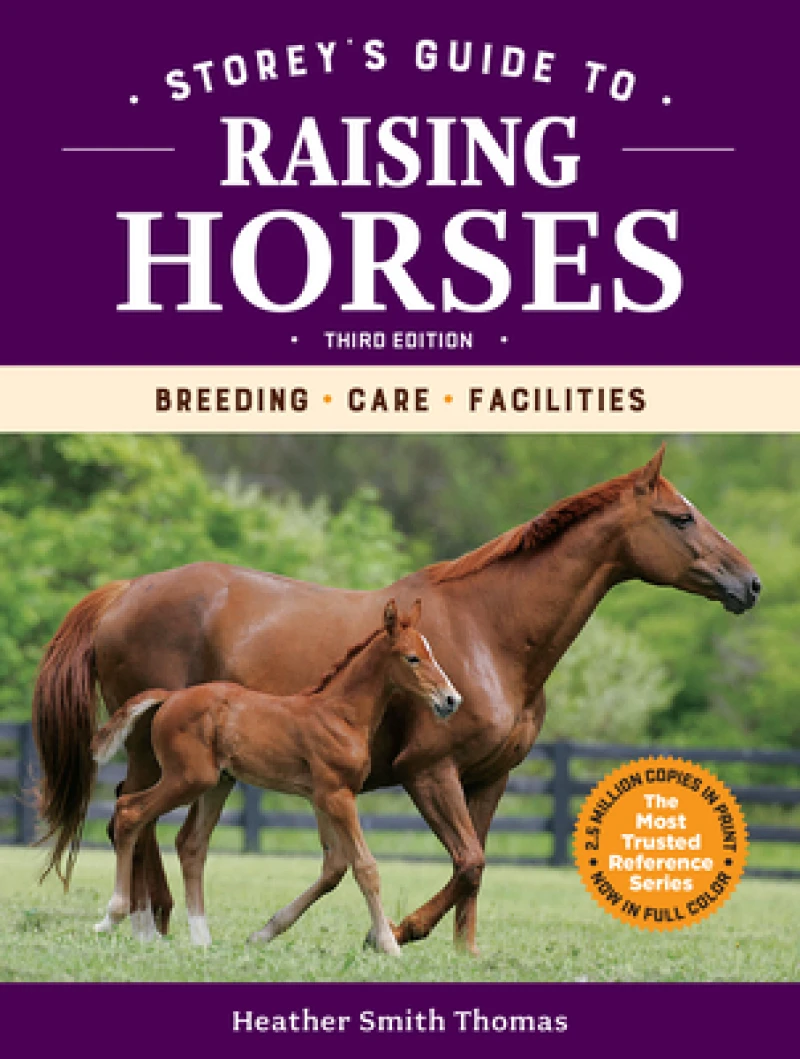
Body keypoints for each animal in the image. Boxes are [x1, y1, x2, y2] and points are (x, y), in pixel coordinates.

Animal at [90, 599, 459, 953]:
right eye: (413, 658)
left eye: (432, 653)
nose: (451, 699)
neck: (340, 715)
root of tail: (171, 697)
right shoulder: (339, 795)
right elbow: (365, 867)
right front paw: (388, 945)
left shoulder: (320, 798)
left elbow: (335, 863)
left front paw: (263, 933)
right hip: (188, 778)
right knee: (129, 810)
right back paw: (112, 917)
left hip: (217, 783)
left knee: (191, 844)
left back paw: (201, 938)